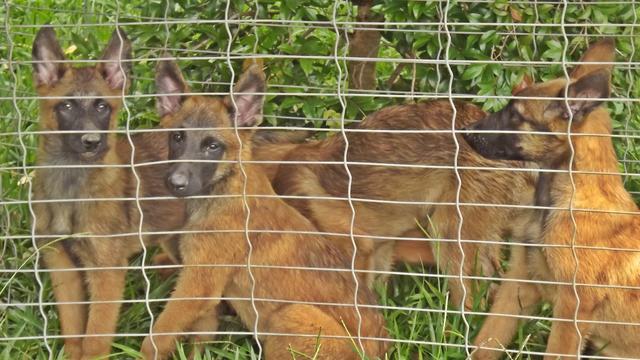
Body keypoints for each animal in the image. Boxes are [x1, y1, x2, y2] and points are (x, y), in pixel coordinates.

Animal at [31, 26, 184, 358]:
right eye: (66, 106)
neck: (71, 187)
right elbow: (73, 333)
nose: (92, 142)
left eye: (102, 107)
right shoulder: (61, 263)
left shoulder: (106, 270)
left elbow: (95, 339)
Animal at [142, 61, 388, 360]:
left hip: (292, 315)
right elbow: (199, 338)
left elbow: (155, 340)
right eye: (177, 138)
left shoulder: (198, 285)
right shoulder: (204, 289)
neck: (223, 189)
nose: (175, 183)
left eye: (213, 146)